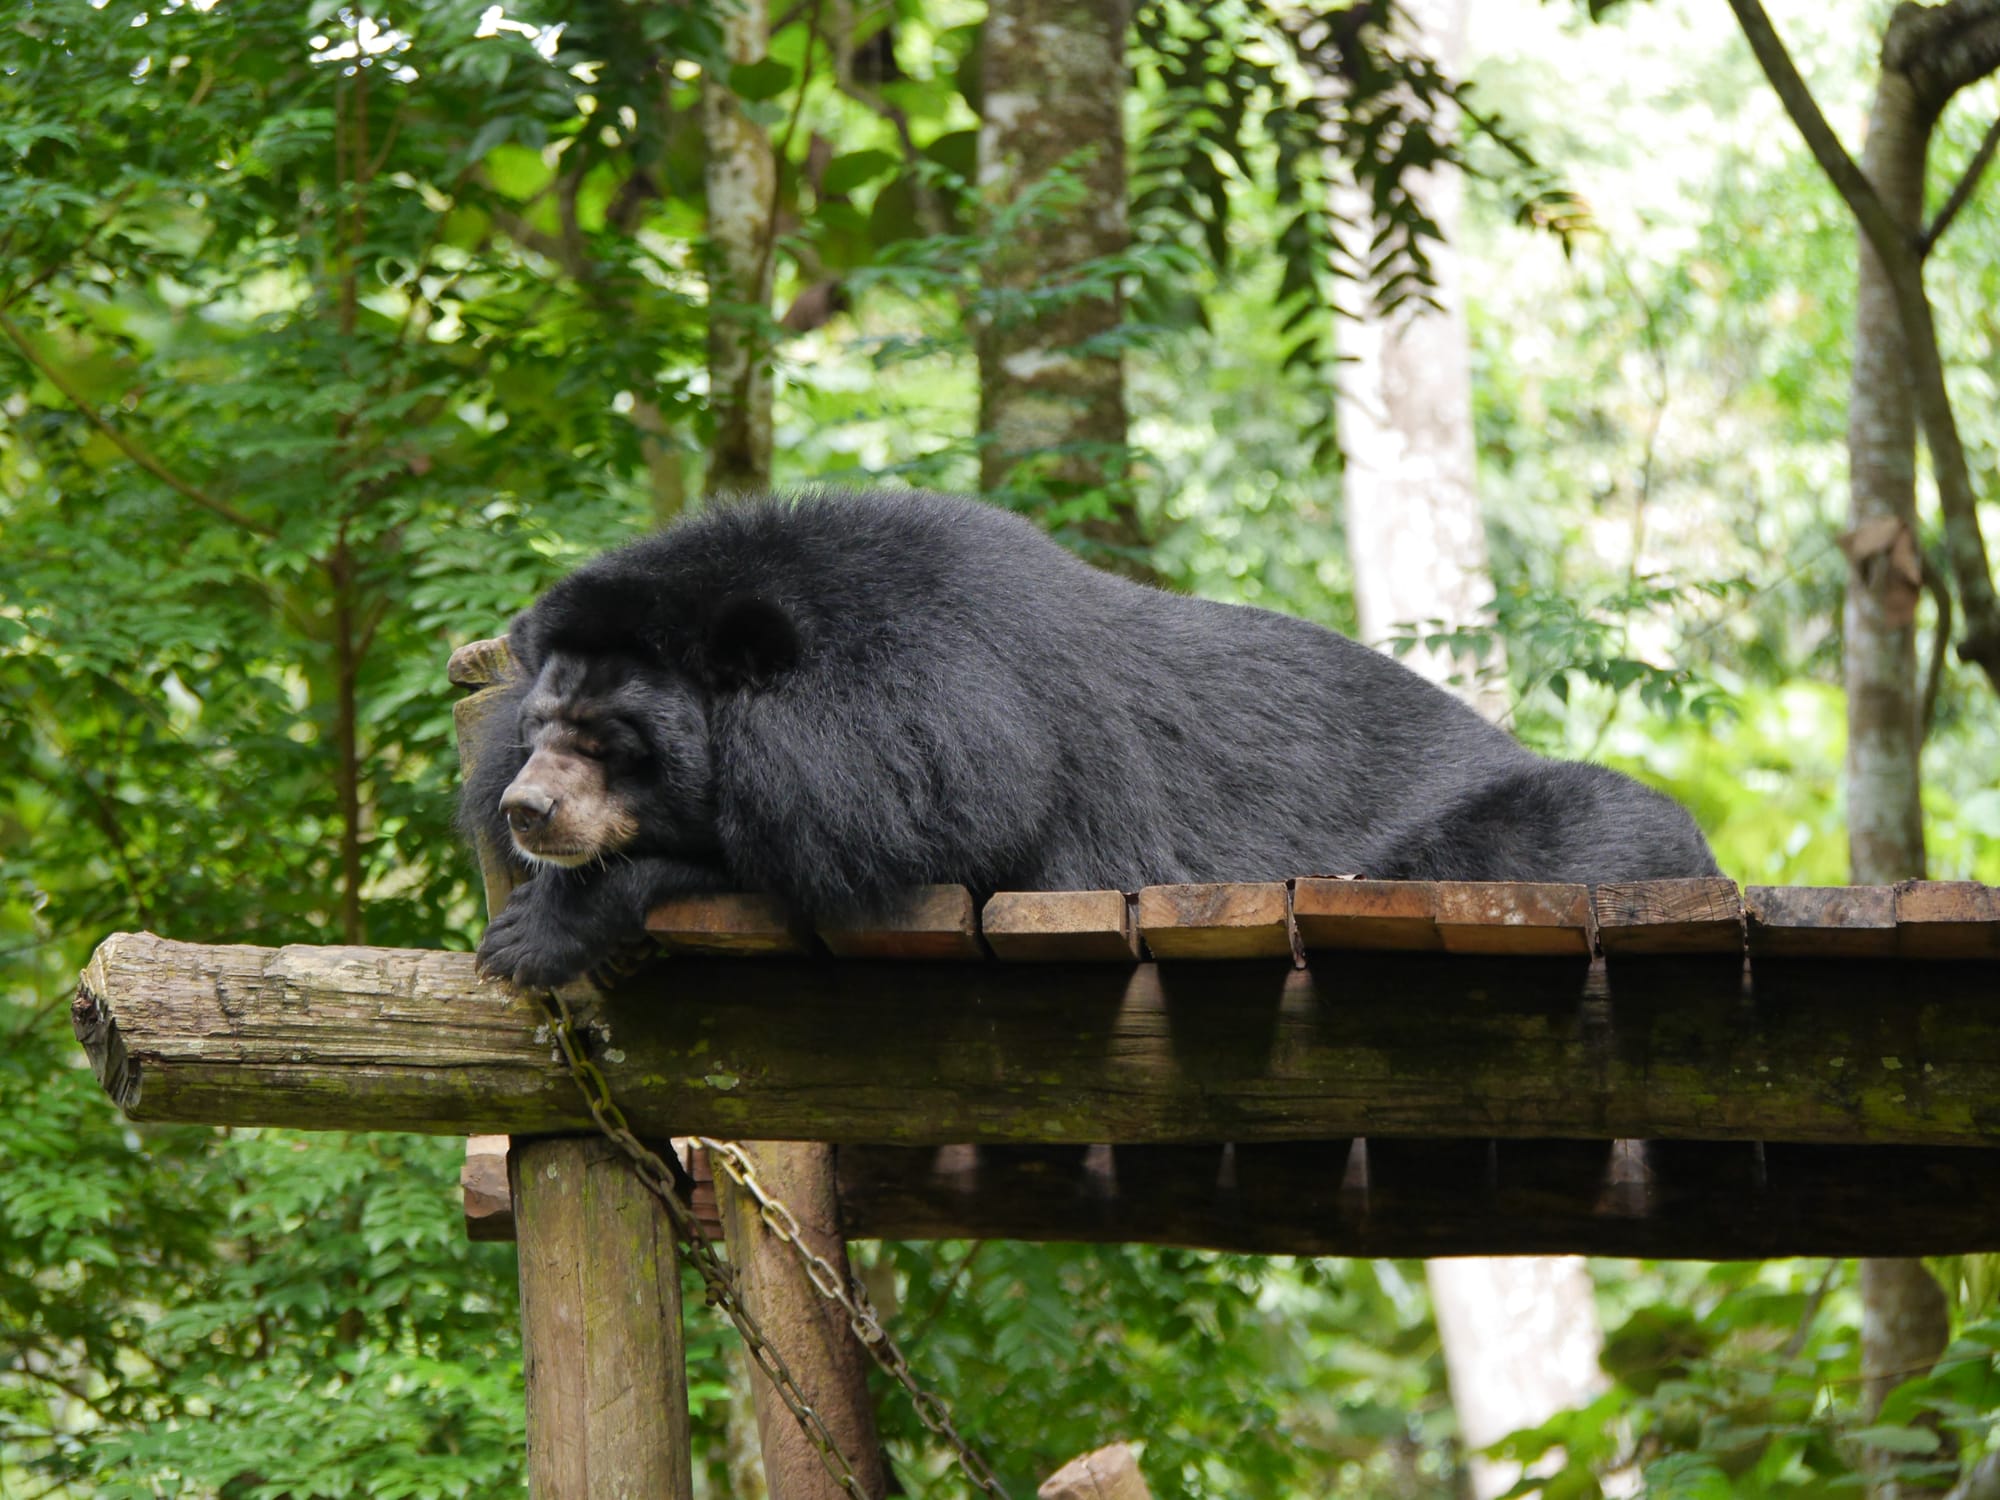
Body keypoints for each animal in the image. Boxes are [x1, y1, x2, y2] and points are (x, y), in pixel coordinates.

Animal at [460, 488, 1712, 992]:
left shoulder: (957, 739)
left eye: (612, 738)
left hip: (1530, 829)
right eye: (541, 727)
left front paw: (540, 929)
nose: (528, 810)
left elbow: (898, 850)